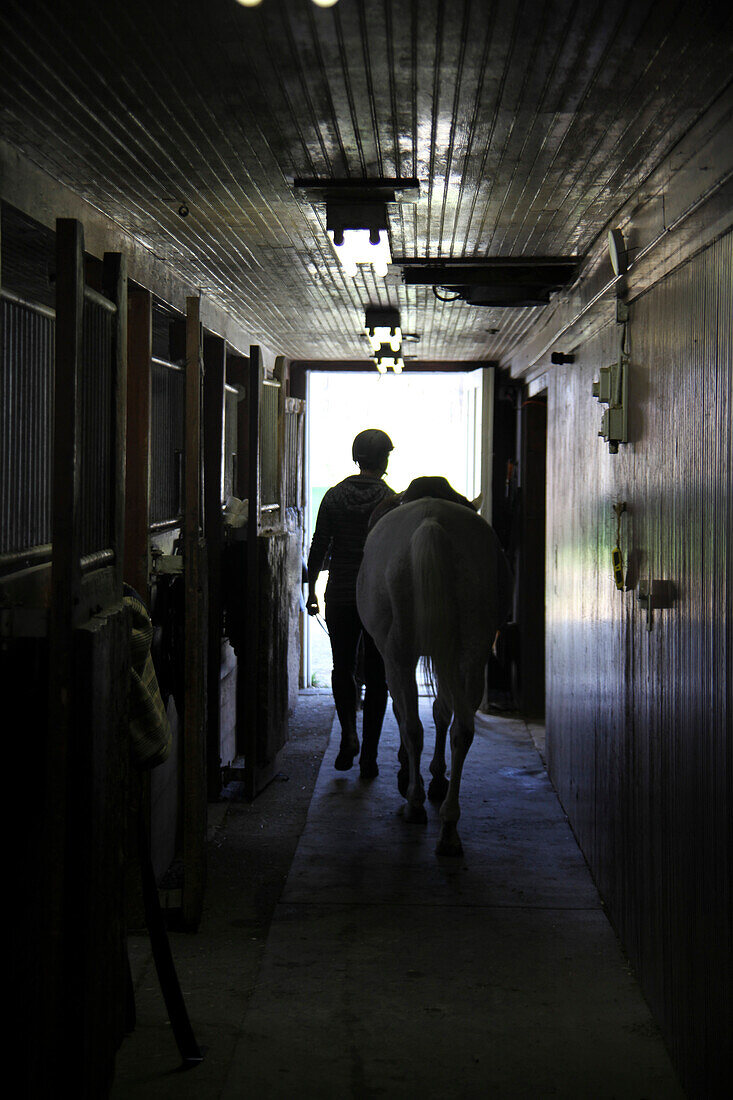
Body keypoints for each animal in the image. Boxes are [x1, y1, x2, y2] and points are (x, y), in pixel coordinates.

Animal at [354, 497, 508, 858]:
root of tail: (430, 523)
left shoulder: (394, 659)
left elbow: (404, 714)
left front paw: (414, 781)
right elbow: (442, 712)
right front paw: (437, 780)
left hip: (398, 653)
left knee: (412, 726)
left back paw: (414, 804)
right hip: (473, 650)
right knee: (462, 729)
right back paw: (449, 828)